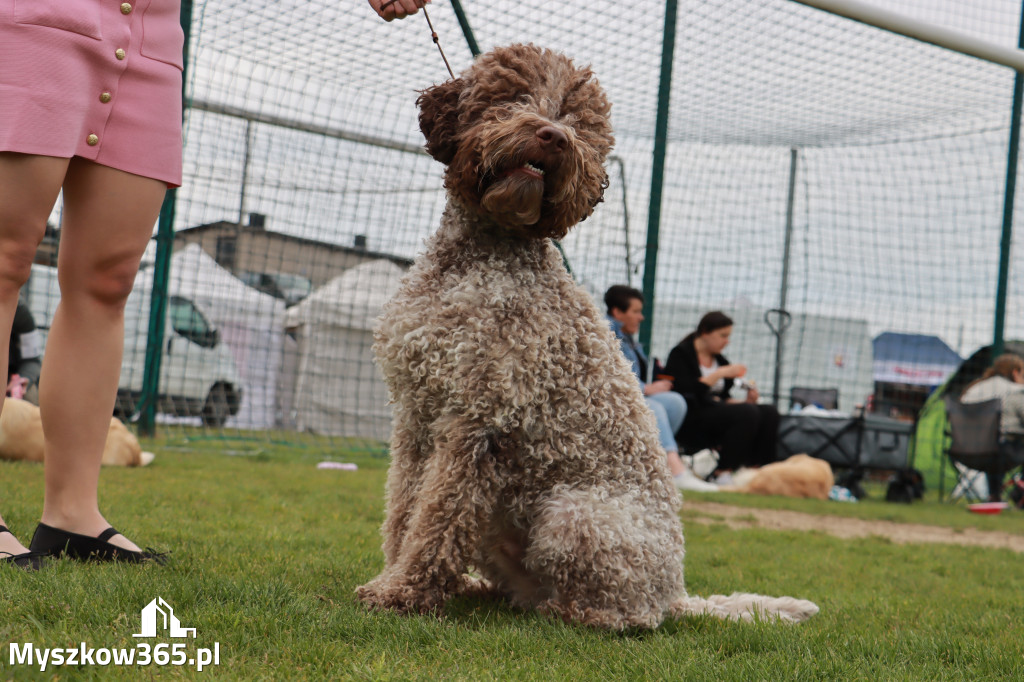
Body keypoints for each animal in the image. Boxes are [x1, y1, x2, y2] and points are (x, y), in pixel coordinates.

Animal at [356, 43, 819, 626]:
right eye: (513, 96)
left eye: (578, 122)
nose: (553, 136)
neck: (473, 263)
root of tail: (675, 591)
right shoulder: (417, 419)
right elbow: (405, 510)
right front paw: (393, 577)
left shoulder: (479, 424)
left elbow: (439, 516)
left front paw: (405, 590)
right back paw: (483, 591)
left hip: (572, 513)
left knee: (627, 616)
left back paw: (567, 613)